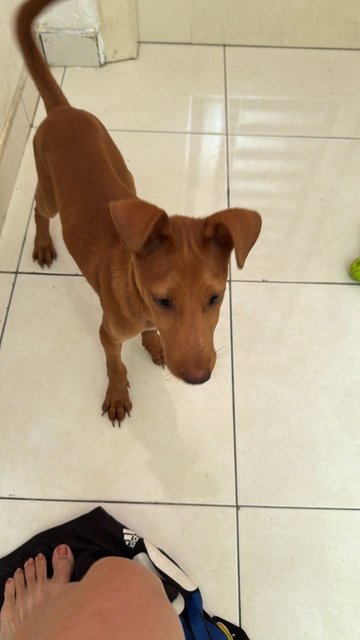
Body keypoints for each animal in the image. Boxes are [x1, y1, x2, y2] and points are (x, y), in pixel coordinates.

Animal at [15, 2, 262, 428]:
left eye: (216, 297)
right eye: (163, 300)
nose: (199, 378)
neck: (136, 297)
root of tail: (64, 110)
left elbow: (148, 338)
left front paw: (154, 345)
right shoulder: (107, 333)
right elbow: (116, 365)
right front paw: (117, 395)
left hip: (121, 167)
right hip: (49, 191)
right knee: (38, 209)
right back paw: (44, 245)